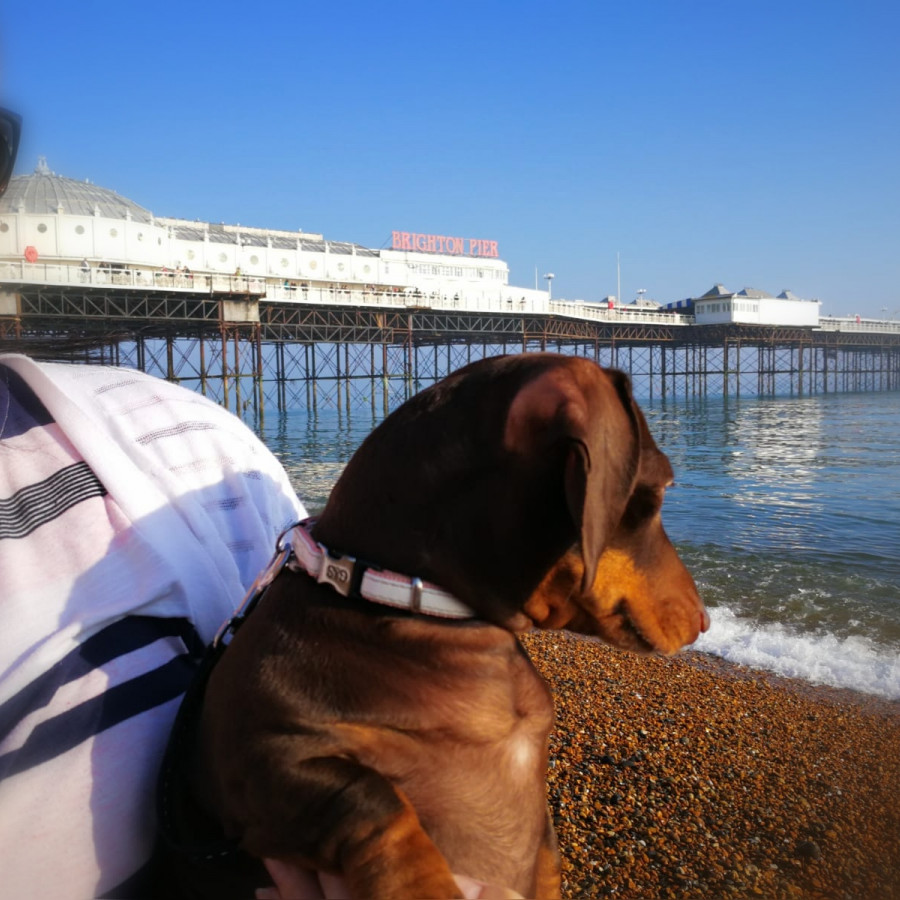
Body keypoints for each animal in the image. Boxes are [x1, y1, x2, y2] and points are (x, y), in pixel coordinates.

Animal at [162, 352, 712, 900]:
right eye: (661, 490)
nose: (706, 620)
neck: (409, 601)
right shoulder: (257, 761)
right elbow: (372, 797)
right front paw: (424, 886)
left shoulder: (544, 844)